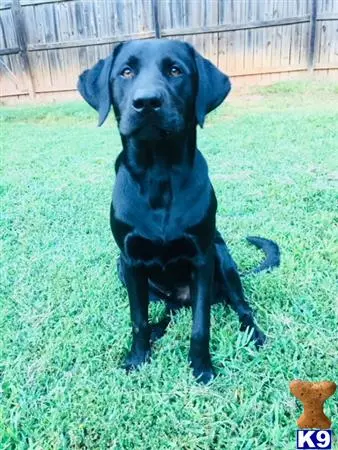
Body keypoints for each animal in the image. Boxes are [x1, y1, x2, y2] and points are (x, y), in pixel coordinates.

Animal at [78, 39, 280, 384]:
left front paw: (201, 369)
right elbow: (138, 320)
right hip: (124, 269)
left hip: (222, 256)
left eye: (175, 71)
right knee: (165, 311)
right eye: (126, 71)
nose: (146, 102)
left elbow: (201, 324)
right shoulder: (130, 260)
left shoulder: (202, 257)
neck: (159, 174)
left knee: (241, 306)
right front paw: (138, 358)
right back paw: (158, 330)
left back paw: (253, 334)